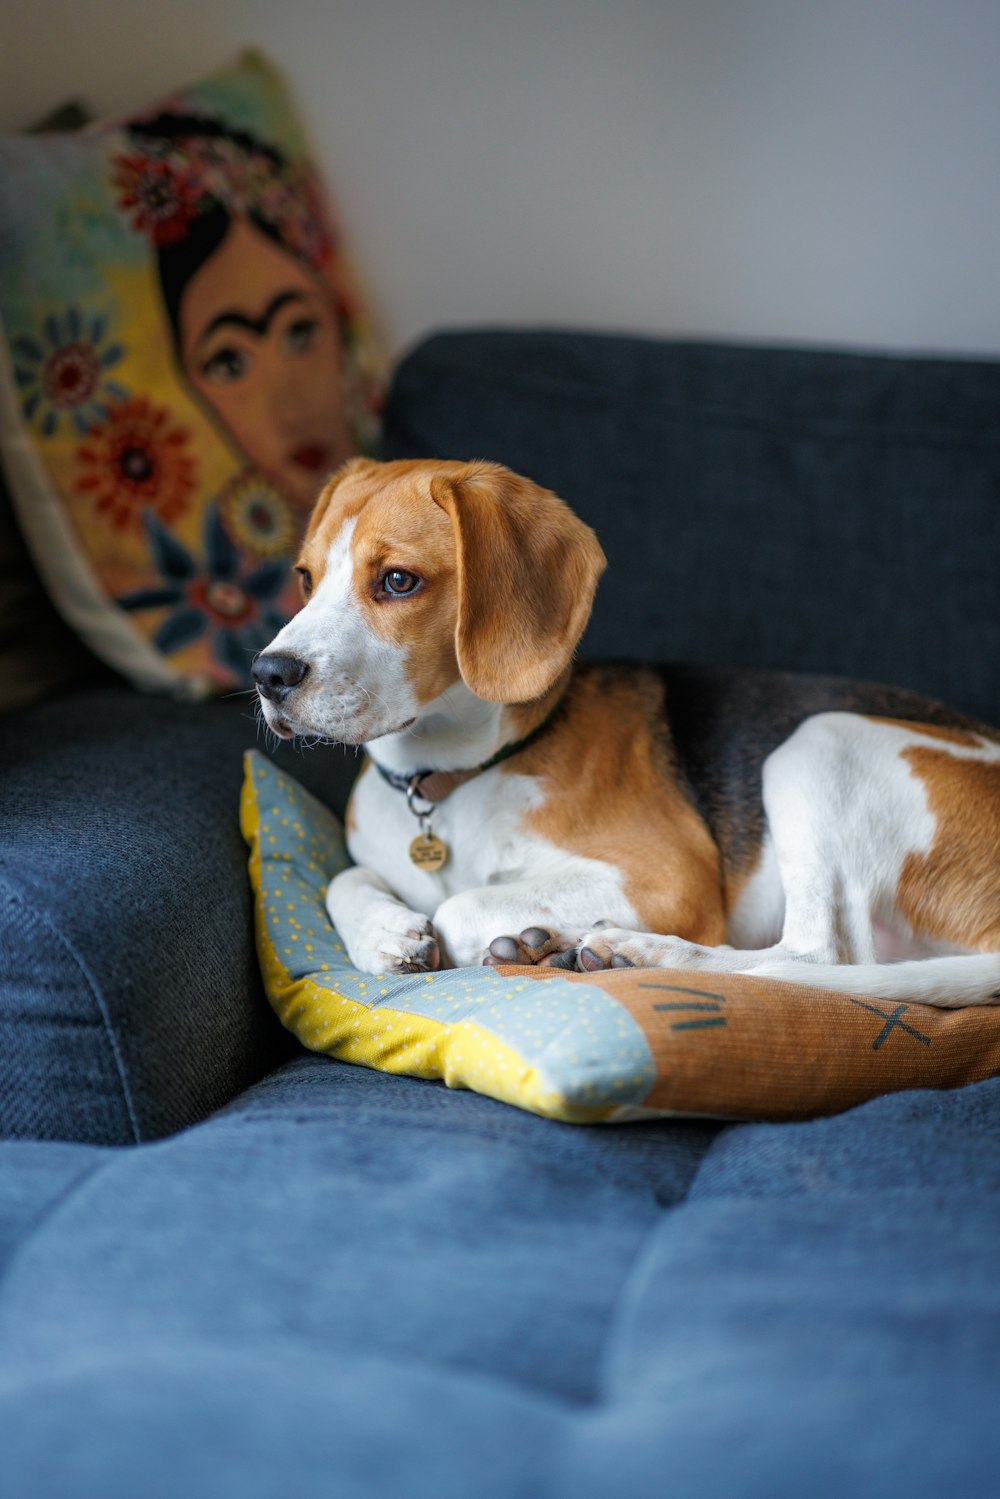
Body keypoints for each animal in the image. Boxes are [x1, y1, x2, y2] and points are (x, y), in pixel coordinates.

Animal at [254, 455, 1000, 1007]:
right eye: (306, 578)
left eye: (398, 581)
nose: (268, 673)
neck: (448, 779)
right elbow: (343, 878)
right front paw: (387, 932)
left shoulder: (666, 878)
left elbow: (461, 907)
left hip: (817, 742)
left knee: (815, 956)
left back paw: (632, 953)